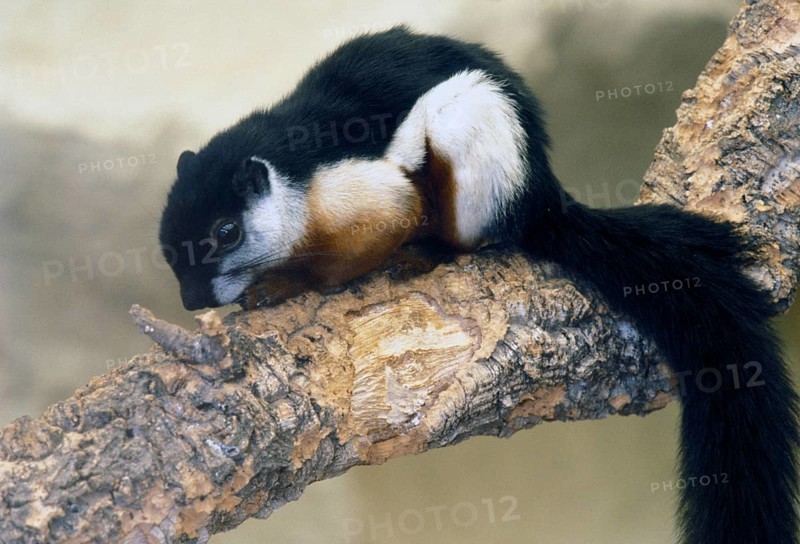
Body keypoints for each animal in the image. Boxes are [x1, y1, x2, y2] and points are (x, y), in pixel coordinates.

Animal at [159, 26, 799, 544]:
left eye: (226, 231)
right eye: (167, 243)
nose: (192, 299)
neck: (297, 181)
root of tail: (541, 197)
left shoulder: (366, 194)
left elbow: (361, 247)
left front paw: (280, 285)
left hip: (465, 130)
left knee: (465, 234)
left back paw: (427, 254)